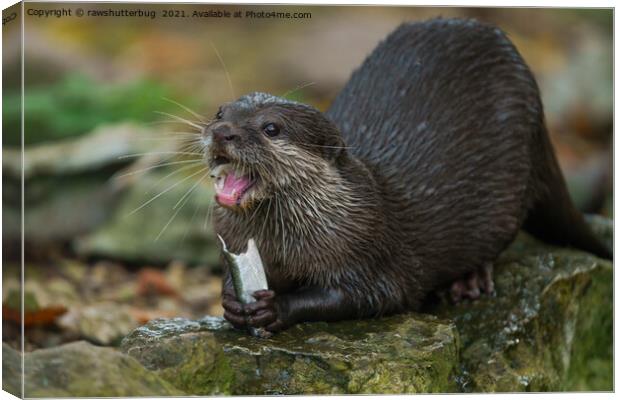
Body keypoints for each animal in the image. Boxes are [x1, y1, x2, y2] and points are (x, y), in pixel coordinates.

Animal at [203, 18, 612, 334]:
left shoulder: (369, 249)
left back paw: (469, 281)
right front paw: (231, 300)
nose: (222, 132)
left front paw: (277, 308)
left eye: (271, 128)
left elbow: (369, 295)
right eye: (220, 111)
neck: (286, 249)